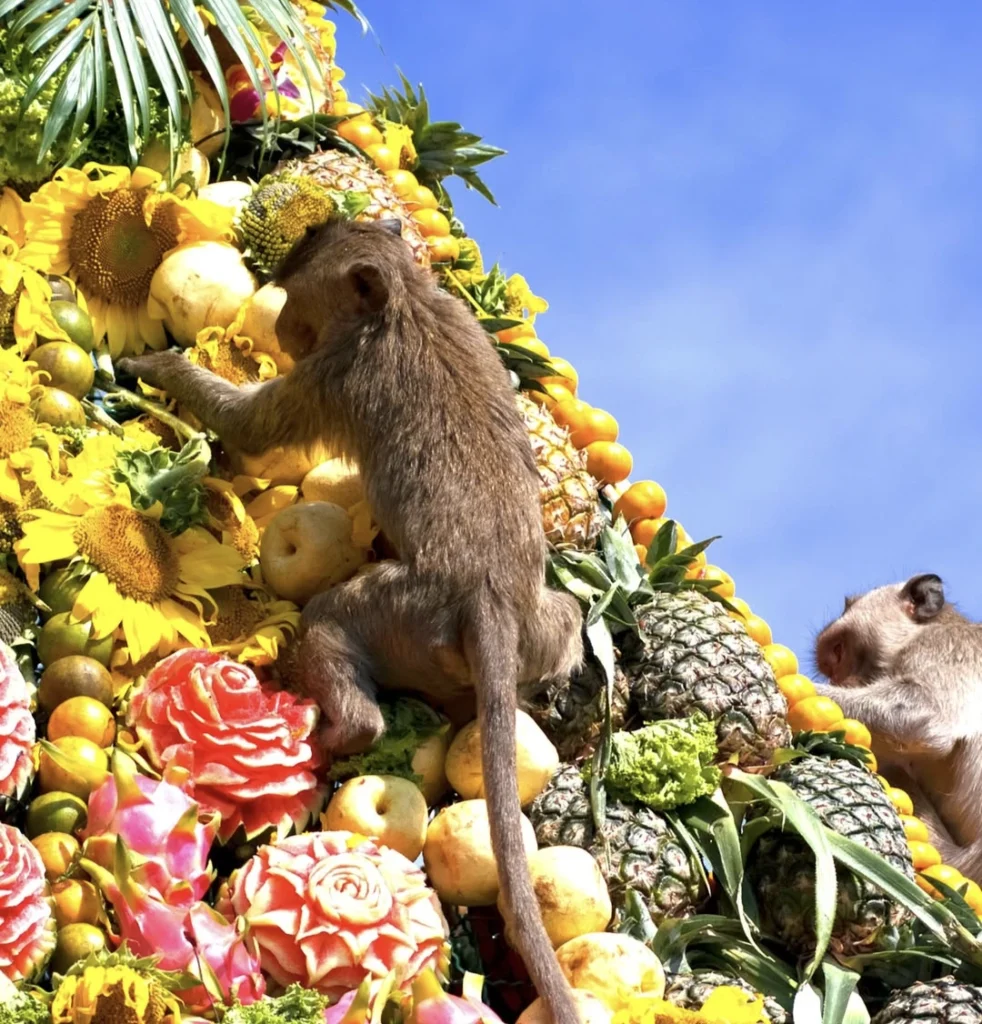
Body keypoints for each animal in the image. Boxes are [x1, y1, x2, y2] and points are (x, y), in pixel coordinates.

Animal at [118, 217, 584, 1023]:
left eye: (296, 300)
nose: (279, 327)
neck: (406, 300)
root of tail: (489, 601)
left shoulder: (333, 372)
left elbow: (252, 422)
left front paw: (158, 366)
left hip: (405, 616)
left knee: (334, 621)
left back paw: (343, 729)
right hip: (533, 623)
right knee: (571, 610)